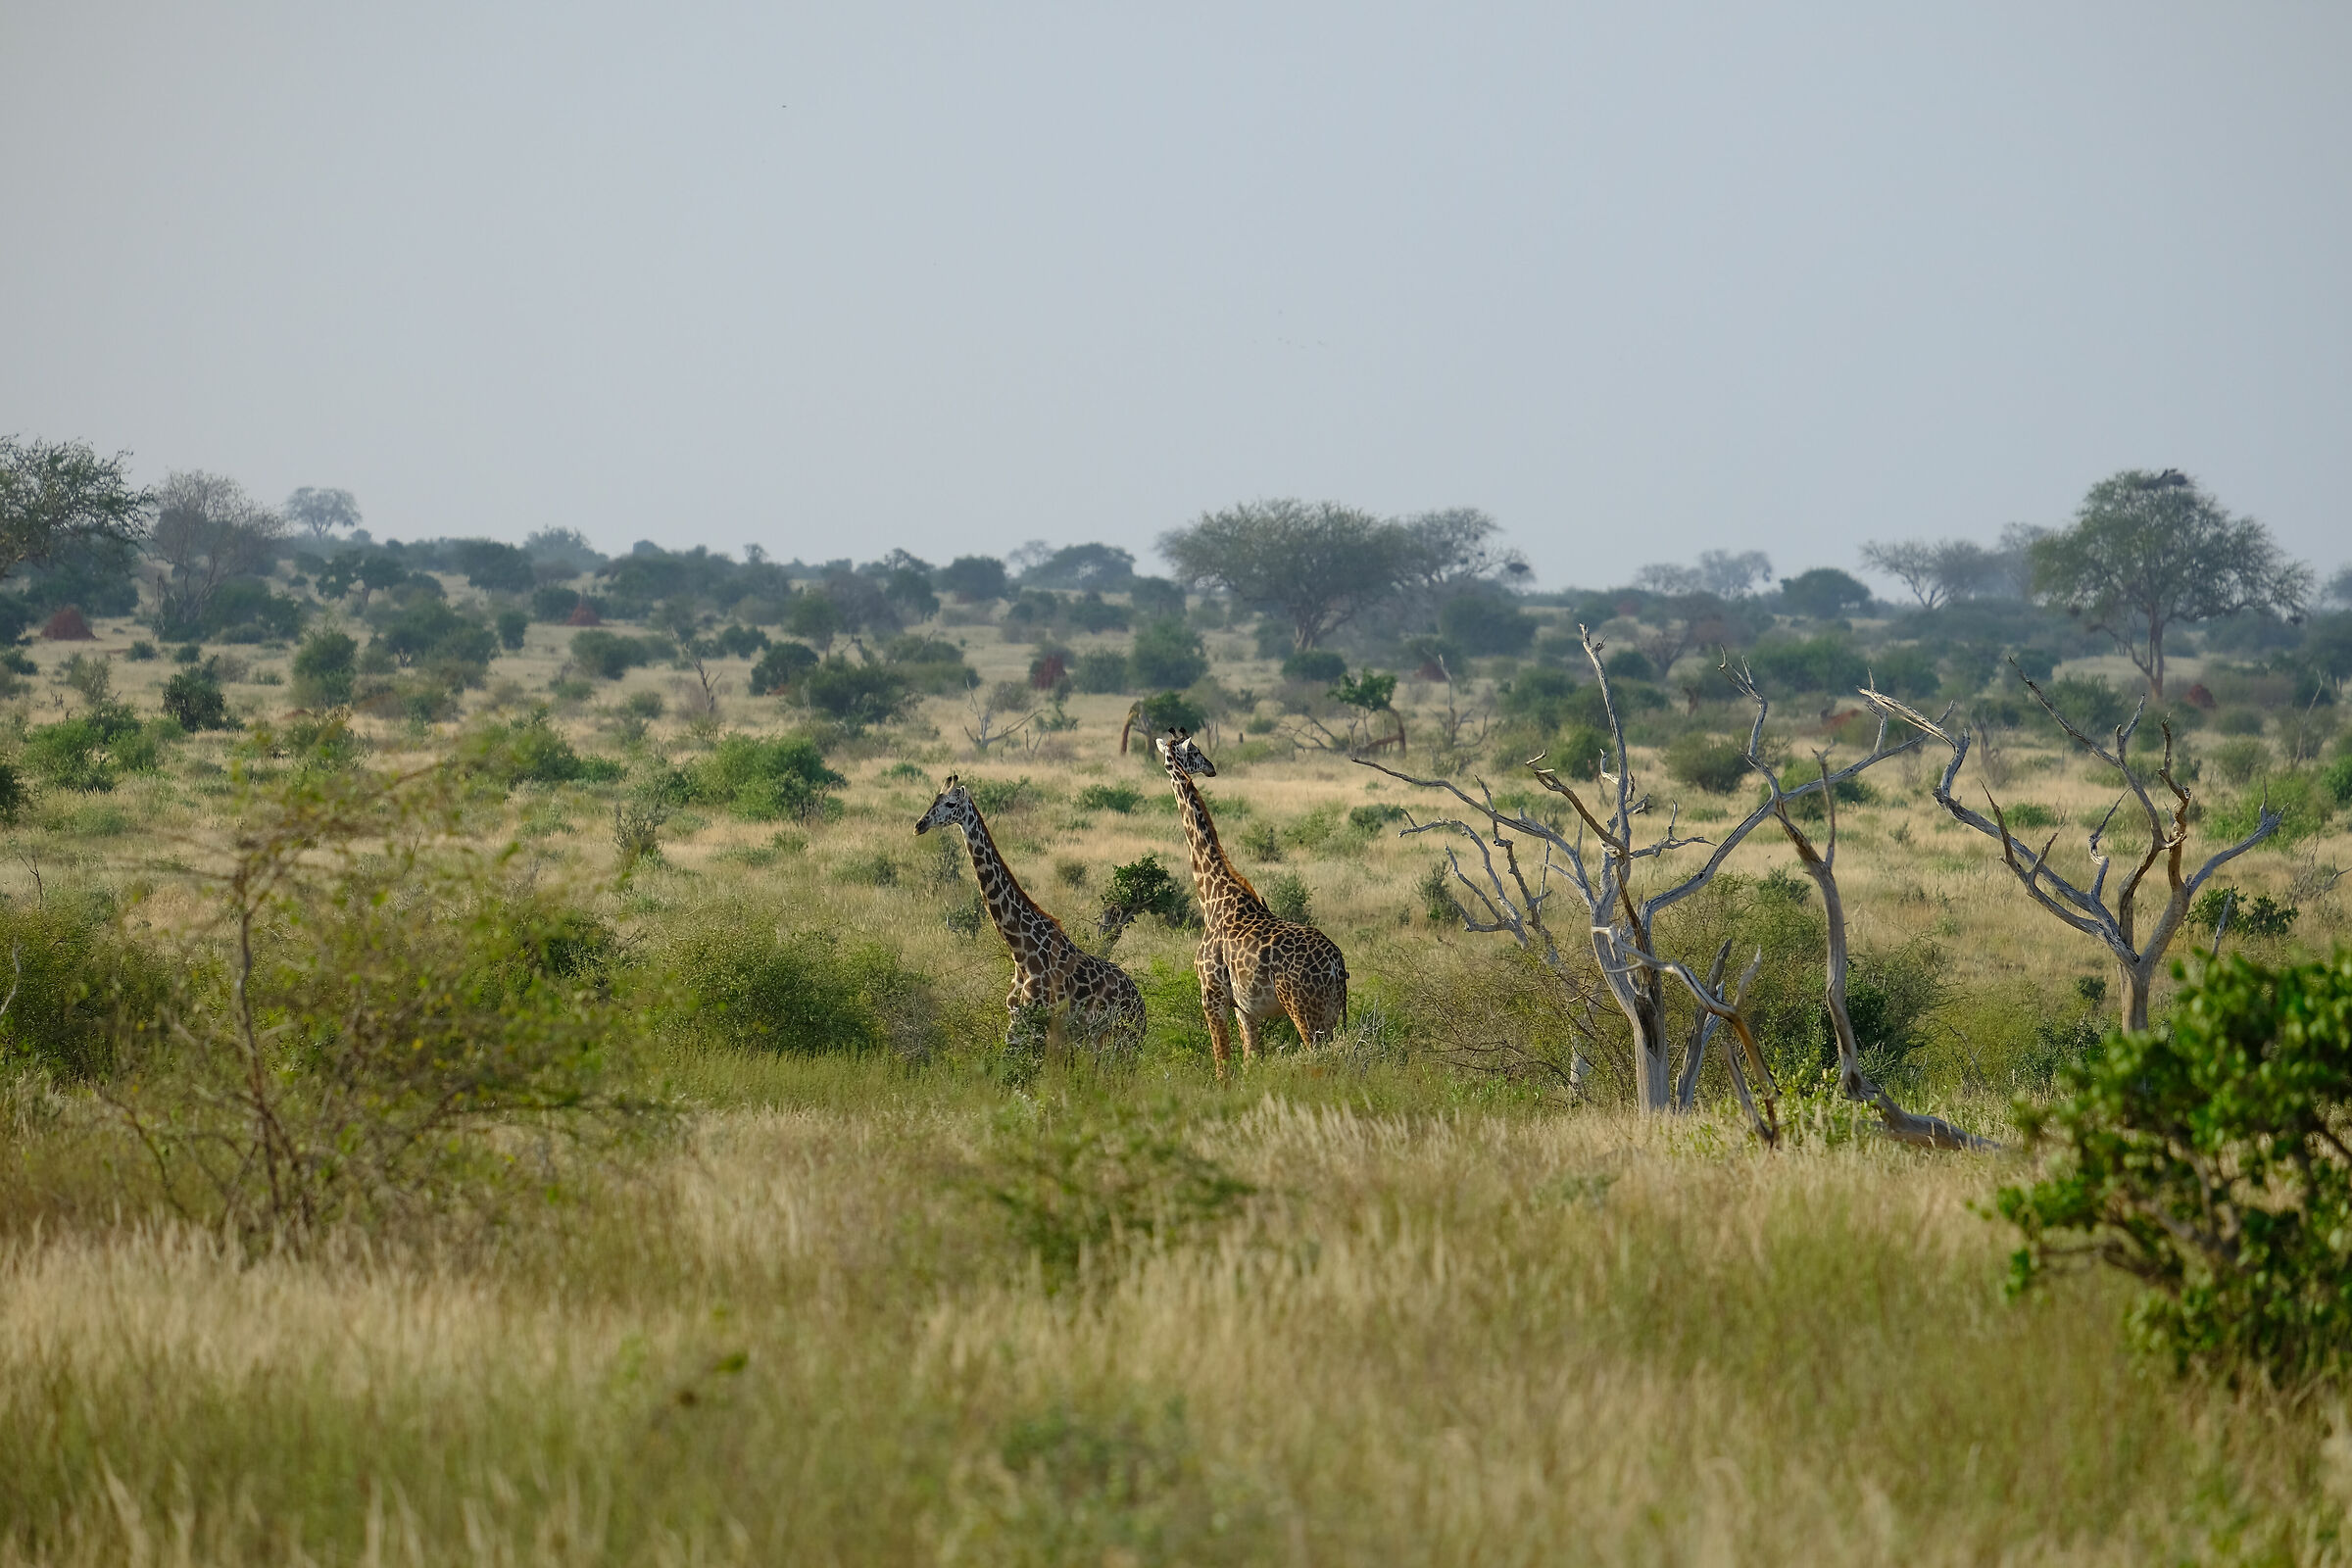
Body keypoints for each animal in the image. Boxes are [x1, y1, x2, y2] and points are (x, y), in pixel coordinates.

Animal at [915, 777, 1145, 1052]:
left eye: (950, 804)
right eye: (934, 800)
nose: (919, 825)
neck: (1021, 951)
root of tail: (1142, 1005)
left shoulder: (1041, 1024)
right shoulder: (1016, 1024)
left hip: (1122, 1039)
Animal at [1153, 729, 1348, 1077]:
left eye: (1195, 749)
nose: (1211, 767)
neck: (1212, 899)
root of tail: (1337, 964)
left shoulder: (1212, 998)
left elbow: (1223, 1068)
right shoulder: (1245, 1009)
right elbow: (1250, 1060)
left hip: (1304, 1009)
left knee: (1320, 1060)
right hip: (1330, 1011)